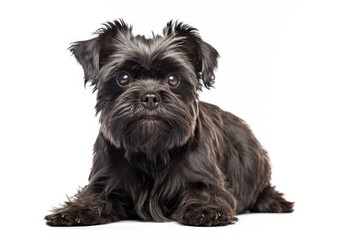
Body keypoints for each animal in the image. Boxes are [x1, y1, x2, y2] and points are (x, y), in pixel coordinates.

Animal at [44, 19, 292, 227]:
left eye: (173, 79)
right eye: (123, 78)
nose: (150, 97)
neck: (151, 151)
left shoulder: (206, 178)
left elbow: (206, 193)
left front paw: (206, 210)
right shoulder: (103, 181)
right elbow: (93, 196)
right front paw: (75, 211)